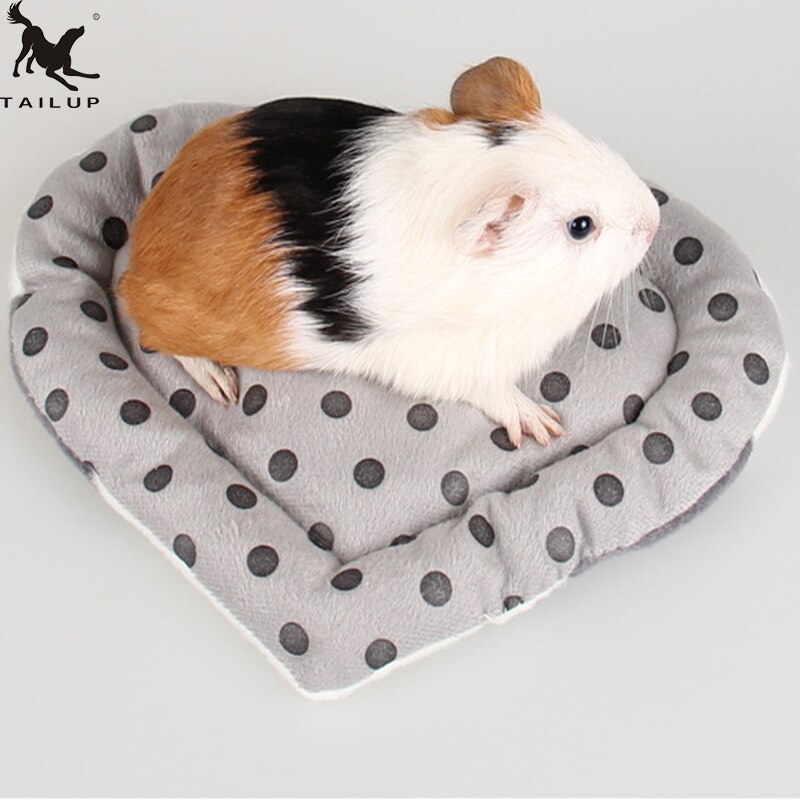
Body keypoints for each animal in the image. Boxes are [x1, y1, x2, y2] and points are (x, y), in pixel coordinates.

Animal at [118, 56, 659, 447]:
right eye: (580, 227)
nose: (654, 219)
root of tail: (138, 253)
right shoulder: (443, 361)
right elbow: (491, 390)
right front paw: (544, 426)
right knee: (154, 337)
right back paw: (223, 386)